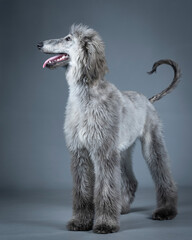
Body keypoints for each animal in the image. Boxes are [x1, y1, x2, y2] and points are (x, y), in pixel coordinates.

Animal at [37, 23, 180, 233]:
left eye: (68, 38)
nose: (39, 44)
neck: (86, 97)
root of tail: (148, 99)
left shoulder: (103, 151)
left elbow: (105, 188)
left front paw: (105, 223)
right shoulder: (80, 151)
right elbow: (82, 189)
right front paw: (81, 221)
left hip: (151, 143)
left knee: (163, 175)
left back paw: (166, 210)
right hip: (122, 150)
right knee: (130, 181)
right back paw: (122, 206)